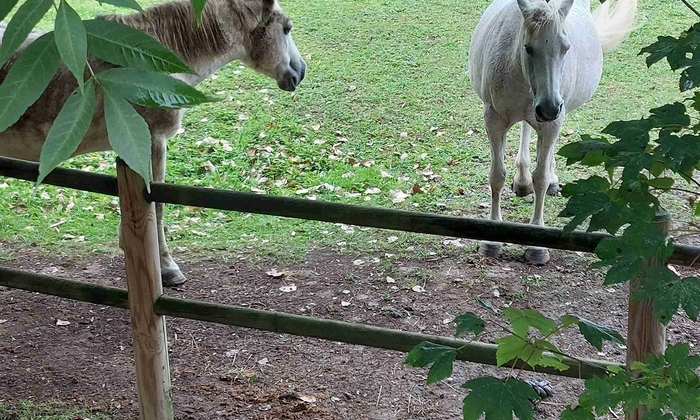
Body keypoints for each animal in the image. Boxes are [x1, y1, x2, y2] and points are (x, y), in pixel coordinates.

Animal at [468, 0, 636, 262]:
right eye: (528, 48)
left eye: (565, 48)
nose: (549, 107)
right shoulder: (493, 119)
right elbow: (496, 176)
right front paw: (492, 239)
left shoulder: (551, 123)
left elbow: (542, 178)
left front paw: (537, 245)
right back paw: (522, 180)